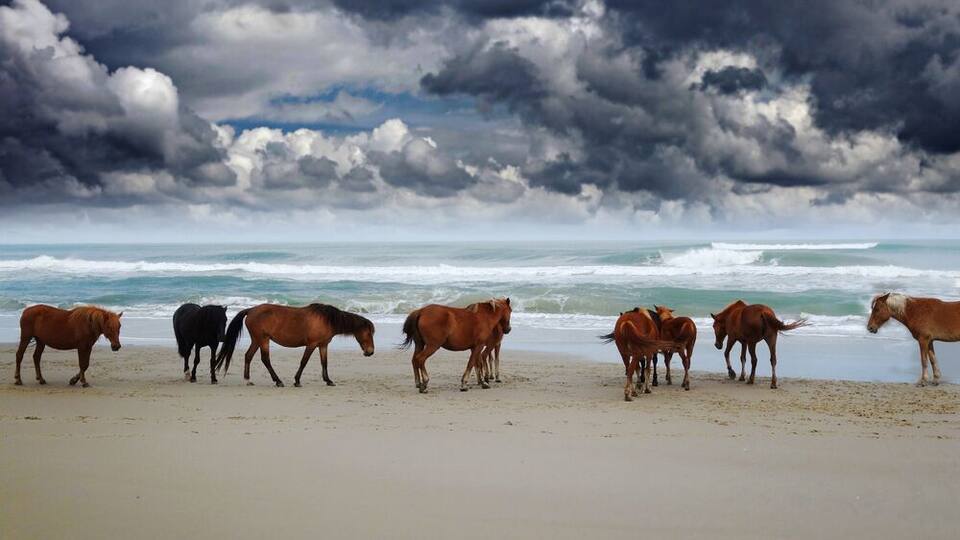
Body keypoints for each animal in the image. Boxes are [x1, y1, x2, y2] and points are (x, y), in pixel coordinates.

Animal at [215, 303, 375, 387]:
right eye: (368, 333)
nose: (370, 352)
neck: (327, 320)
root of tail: (250, 310)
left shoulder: (323, 345)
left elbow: (324, 363)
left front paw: (328, 380)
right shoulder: (311, 345)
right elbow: (304, 362)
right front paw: (297, 381)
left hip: (256, 340)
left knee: (248, 356)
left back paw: (248, 379)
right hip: (263, 340)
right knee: (265, 359)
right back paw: (278, 381)